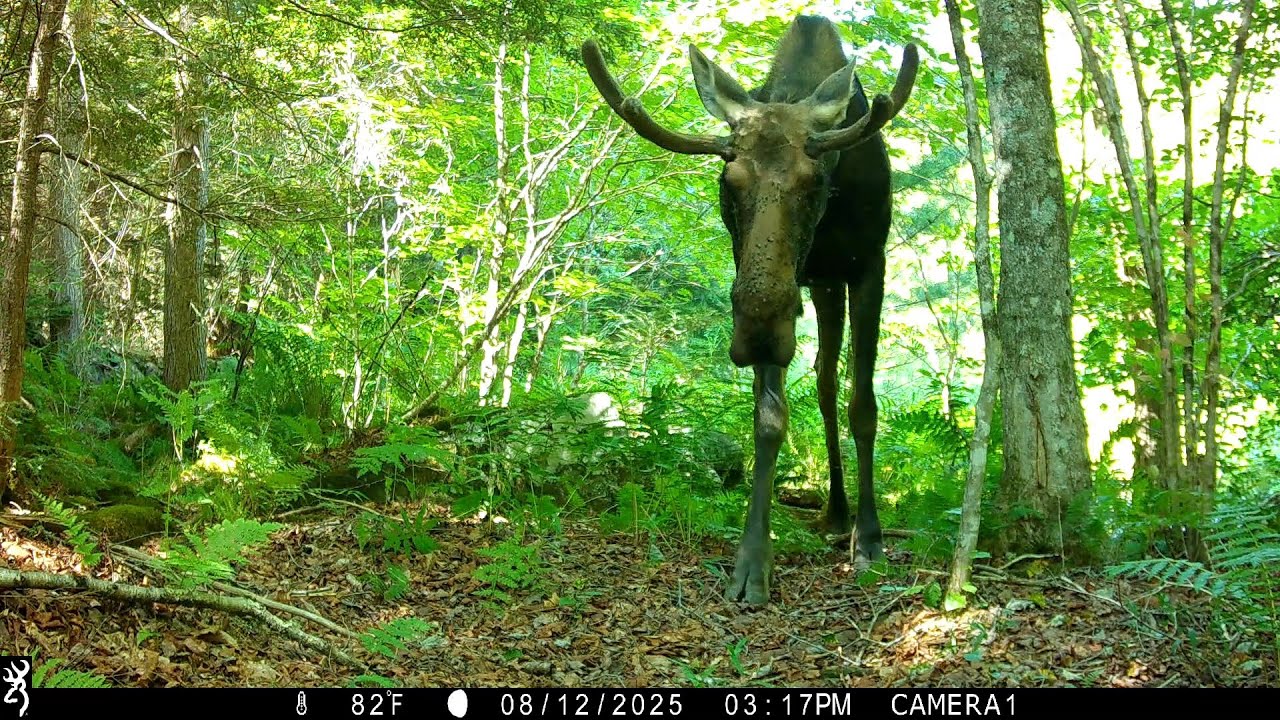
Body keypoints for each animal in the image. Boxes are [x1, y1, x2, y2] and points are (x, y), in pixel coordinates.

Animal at [581, 15, 918, 605]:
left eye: (816, 181)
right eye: (727, 183)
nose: (759, 334)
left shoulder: (869, 266)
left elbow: (866, 406)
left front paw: (871, 541)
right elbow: (769, 418)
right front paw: (753, 561)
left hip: (831, 284)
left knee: (836, 388)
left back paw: (849, 521)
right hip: (820, 288)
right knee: (823, 383)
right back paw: (835, 512)